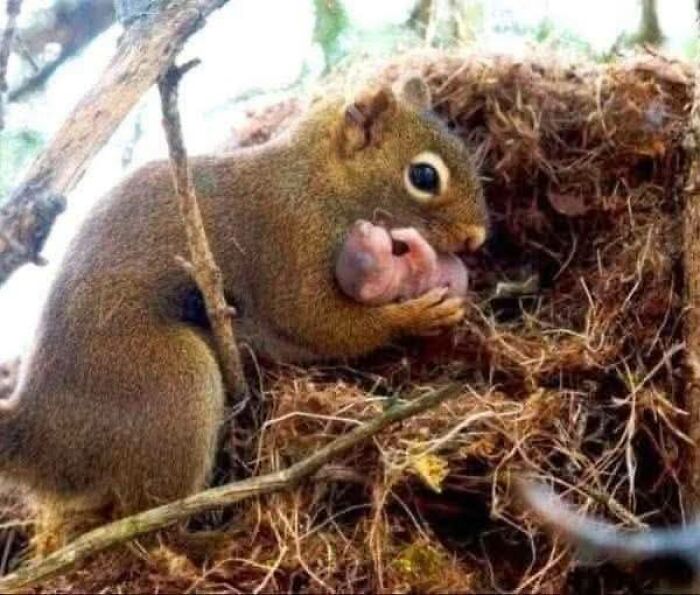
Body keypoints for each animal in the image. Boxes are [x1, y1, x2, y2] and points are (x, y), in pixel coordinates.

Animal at [0, 75, 488, 552]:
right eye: (423, 175)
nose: (477, 239)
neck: (320, 182)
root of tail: (42, 433)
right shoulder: (288, 240)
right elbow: (321, 324)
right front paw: (417, 314)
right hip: (171, 382)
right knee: (149, 527)